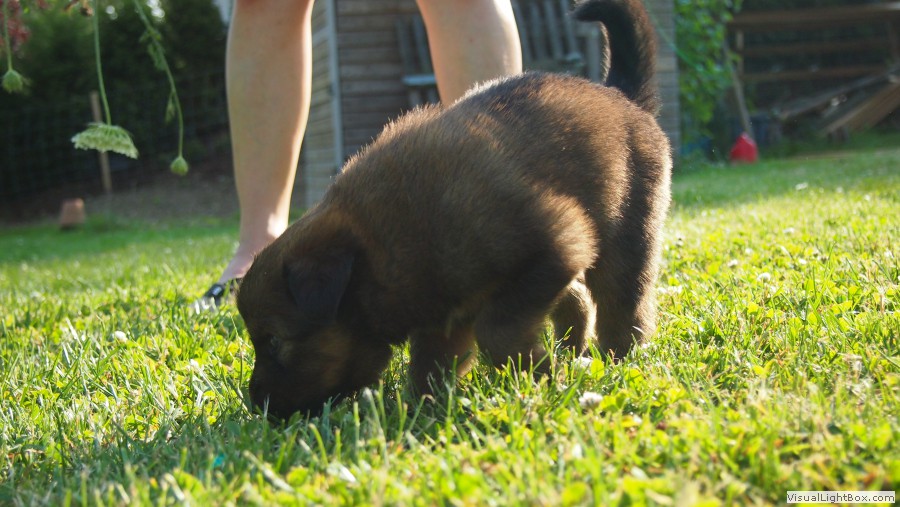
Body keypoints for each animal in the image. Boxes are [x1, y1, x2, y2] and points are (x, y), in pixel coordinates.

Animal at [237, 0, 672, 419]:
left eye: (274, 340)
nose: (257, 404)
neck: (380, 244)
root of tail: (621, 96)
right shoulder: (443, 311)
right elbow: (432, 364)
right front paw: (423, 411)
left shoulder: (553, 244)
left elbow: (498, 331)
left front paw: (537, 376)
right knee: (579, 299)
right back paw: (575, 353)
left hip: (628, 236)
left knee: (623, 307)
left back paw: (615, 361)